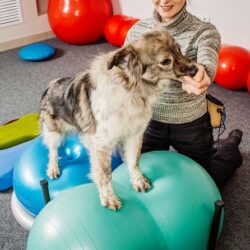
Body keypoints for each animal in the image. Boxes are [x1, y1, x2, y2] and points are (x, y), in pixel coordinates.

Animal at [40, 28, 198, 210]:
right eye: (165, 61)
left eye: (179, 49)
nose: (196, 70)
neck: (131, 91)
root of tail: (51, 85)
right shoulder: (102, 143)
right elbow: (105, 174)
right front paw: (109, 197)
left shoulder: (135, 135)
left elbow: (134, 161)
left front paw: (138, 181)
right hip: (54, 133)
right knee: (52, 151)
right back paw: (53, 168)